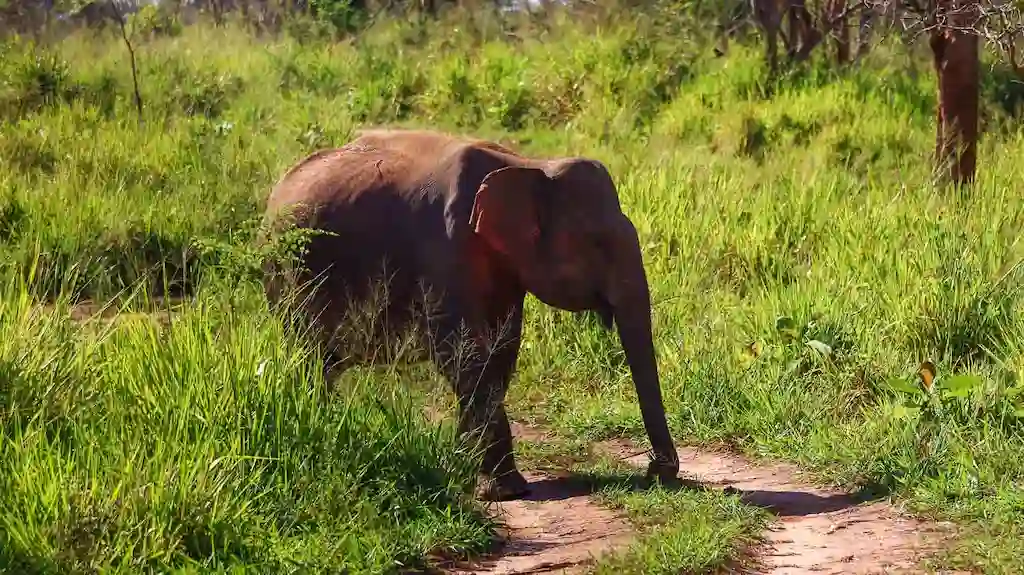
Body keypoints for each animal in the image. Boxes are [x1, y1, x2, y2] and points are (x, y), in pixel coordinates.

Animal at [260, 128, 680, 501]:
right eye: (597, 243)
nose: (656, 472)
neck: (528, 165)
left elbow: (502, 349)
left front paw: (465, 469)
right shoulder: (445, 248)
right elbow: (463, 352)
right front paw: (503, 491)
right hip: (287, 278)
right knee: (312, 359)